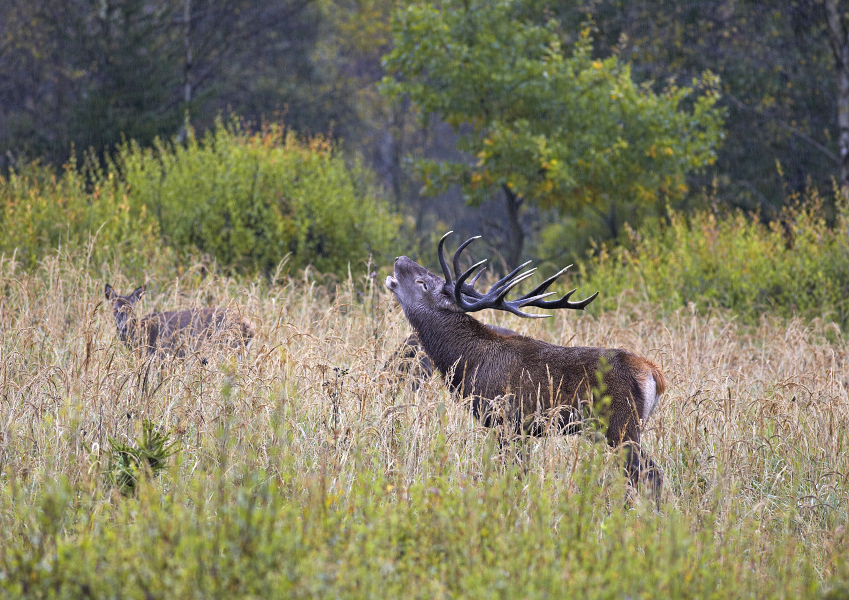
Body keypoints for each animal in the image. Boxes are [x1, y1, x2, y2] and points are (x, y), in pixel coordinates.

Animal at [104, 284, 253, 358]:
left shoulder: (162, 355)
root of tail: (251, 328)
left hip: (226, 349)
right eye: (115, 309)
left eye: (131, 310)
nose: (124, 328)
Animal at [386, 232, 668, 494]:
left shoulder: (506, 420)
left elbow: (512, 472)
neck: (470, 361)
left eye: (422, 283)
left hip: (622, 425)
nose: (399, 259)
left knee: (649, 473)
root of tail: (654, 374)